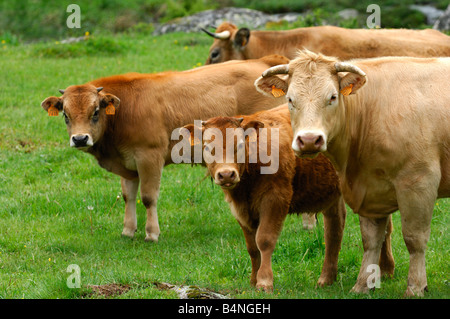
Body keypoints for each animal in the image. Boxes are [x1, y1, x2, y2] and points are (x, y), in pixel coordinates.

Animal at [41, 54, 288, 242]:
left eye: (95, 112)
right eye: (65, 115)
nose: (80, 139)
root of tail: (263, 60)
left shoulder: (149, 156)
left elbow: (148, 197)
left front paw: (152, 234)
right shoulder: (127, 164)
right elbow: (128, 196)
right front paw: (128, 231)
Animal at [184, 105, 348, 292]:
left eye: (240, 145)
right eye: (206, 147)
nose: (226, 174)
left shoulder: (275, 198)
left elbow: (264, 240)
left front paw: (264, 281)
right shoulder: (240, 209)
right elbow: (252, 247)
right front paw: (253, 280)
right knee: (334, 230)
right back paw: (326, 278)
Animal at [255, 50, 450, 298]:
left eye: (332, 97)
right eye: (290, 99)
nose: (309, 140)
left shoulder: (418, 181)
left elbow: (414, 238)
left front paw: (416, 286)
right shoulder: (370, 190)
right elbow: (371, 240)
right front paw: (362, 284)